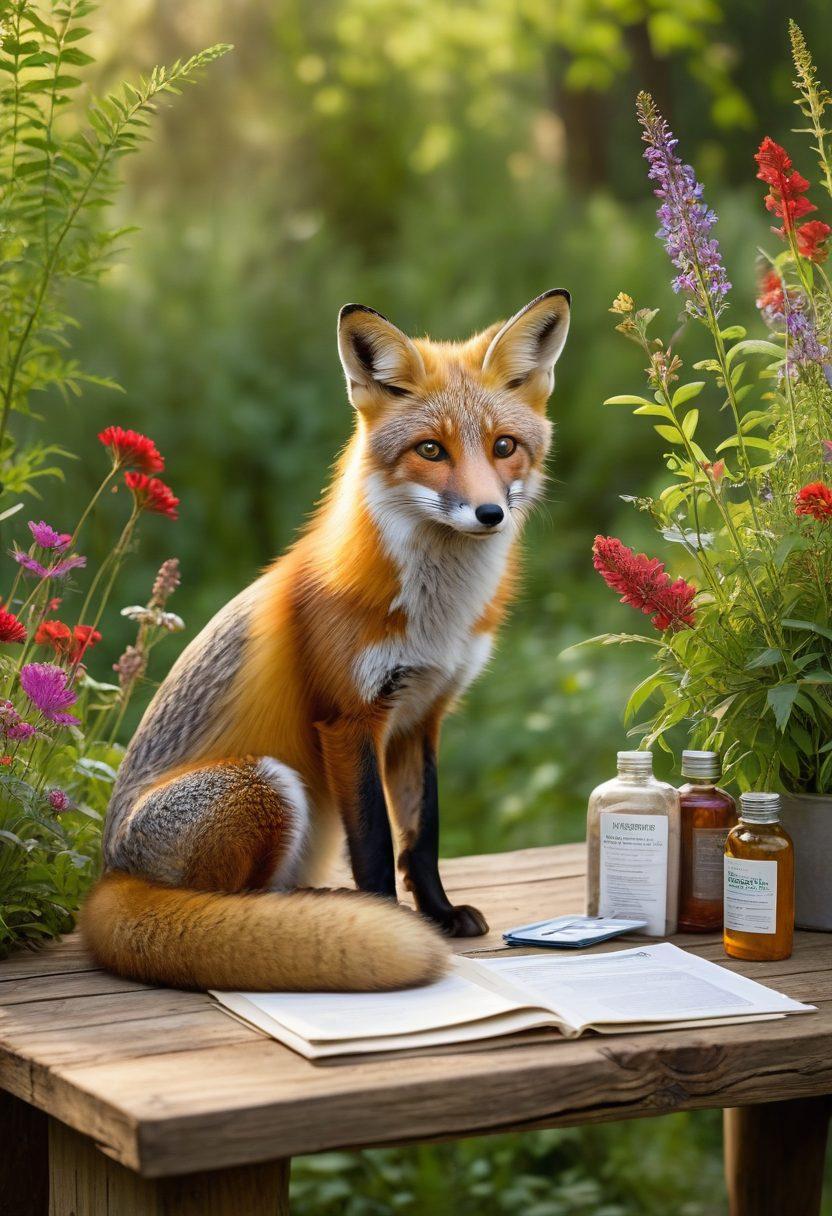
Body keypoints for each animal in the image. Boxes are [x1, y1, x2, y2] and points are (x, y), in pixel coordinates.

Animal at [81, 288, 571, 993]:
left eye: (504, 445)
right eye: (431, 450)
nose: (490, 514)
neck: (436, 618)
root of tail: (108, 878)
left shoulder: (422, 715)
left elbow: (422, 835)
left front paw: (441, 913)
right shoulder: (348, 718)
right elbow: (373, 844)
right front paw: (390, 921)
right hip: (265, 783)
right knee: (229, 907)